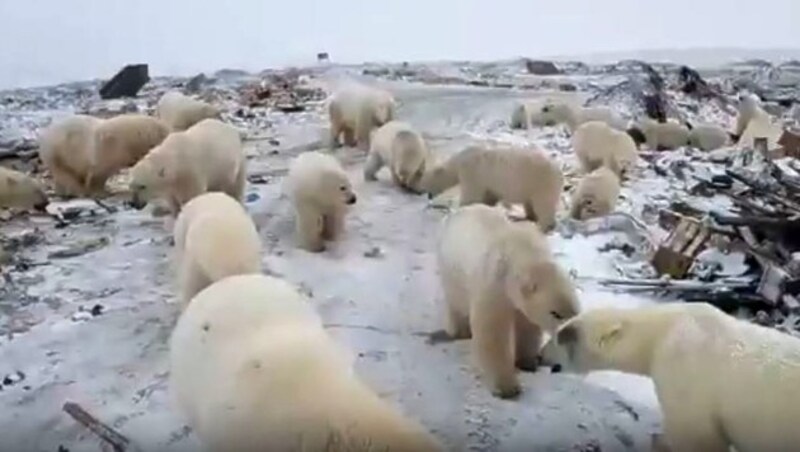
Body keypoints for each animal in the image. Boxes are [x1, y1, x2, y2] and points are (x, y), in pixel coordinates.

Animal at [39, 113, 168, 196]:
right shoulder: (110, 147)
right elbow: (99, 171)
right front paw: (100, 192)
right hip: (57, 153)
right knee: (66, 174)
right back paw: (79, 191)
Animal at [418, 145, 564, 231]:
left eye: (423, 178)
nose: (422, 192)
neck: (459, 160)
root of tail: (558, 169)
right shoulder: (488, 183)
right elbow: (489, 197)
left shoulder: (472, 172)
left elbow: (472, 196)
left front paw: (462, 209)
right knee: (530, 204)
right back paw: (525, 217)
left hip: (539, 181)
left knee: (543, 204)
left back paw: (542, 226)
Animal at [434, 205, 580, 400]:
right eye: (555, 313)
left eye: (576, 311)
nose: (571, 336)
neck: (521, 251)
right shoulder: (494, 282)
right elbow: (492, 331)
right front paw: (507, 387)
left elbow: (527, 325)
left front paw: (527, 362)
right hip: (453, 269)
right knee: (456, 301)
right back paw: (459, 330)